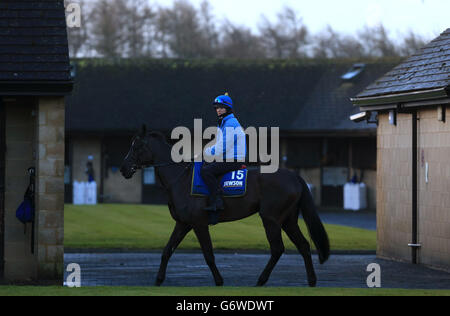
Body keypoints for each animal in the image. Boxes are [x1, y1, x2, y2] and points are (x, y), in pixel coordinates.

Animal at [120, 125, 330, 286]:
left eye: (137, 146)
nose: (123, 168)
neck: (181, 179)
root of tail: (294, 176)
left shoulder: (199, 224)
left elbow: (208, 254)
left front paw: (219, 280)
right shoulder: (183, 224)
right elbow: (167, 251)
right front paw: (158, 279)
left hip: (271, 218)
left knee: (278, 248)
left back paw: (261, 280)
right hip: (288, 220)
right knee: (303, 245)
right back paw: (311, 280)